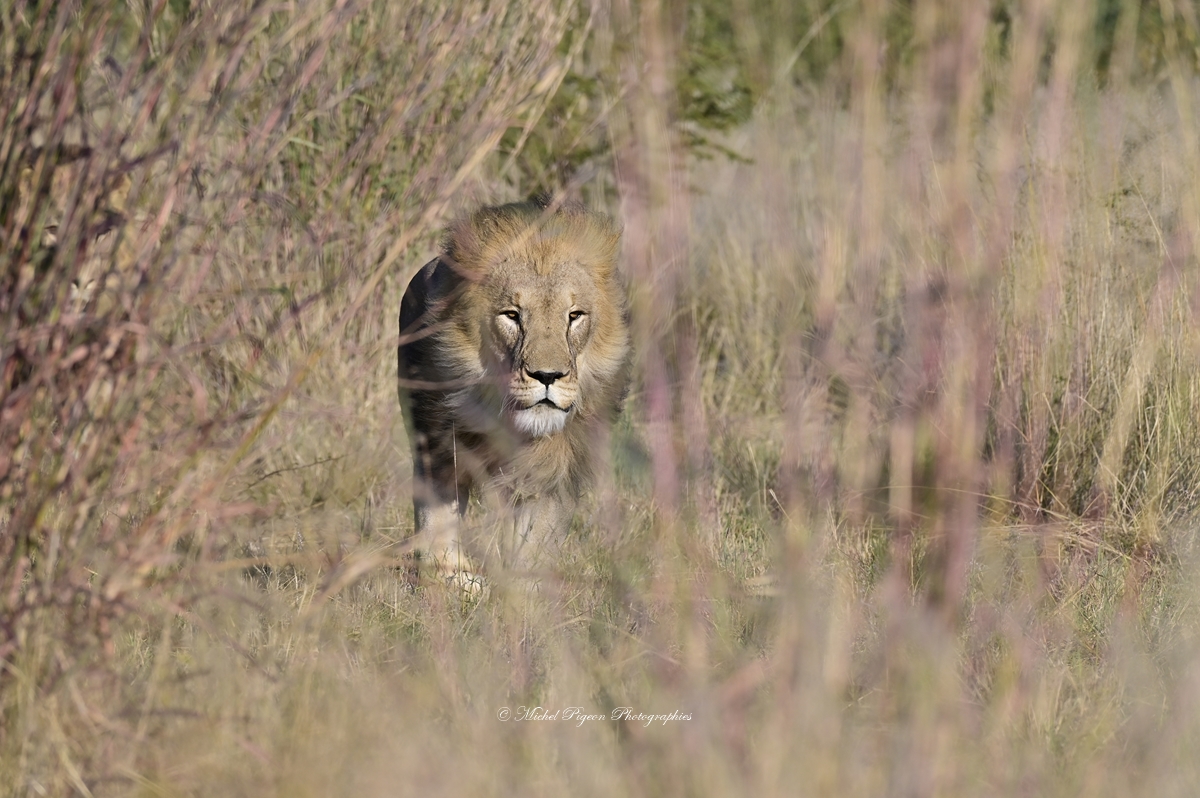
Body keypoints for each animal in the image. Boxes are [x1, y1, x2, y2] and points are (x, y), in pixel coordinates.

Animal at [397, 199, 630, 583]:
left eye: (574, 315)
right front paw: (452, 580)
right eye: (512, 315)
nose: (547, 376)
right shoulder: (437, 446)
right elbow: (436, 526)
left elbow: (534, 549)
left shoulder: (553, 470)